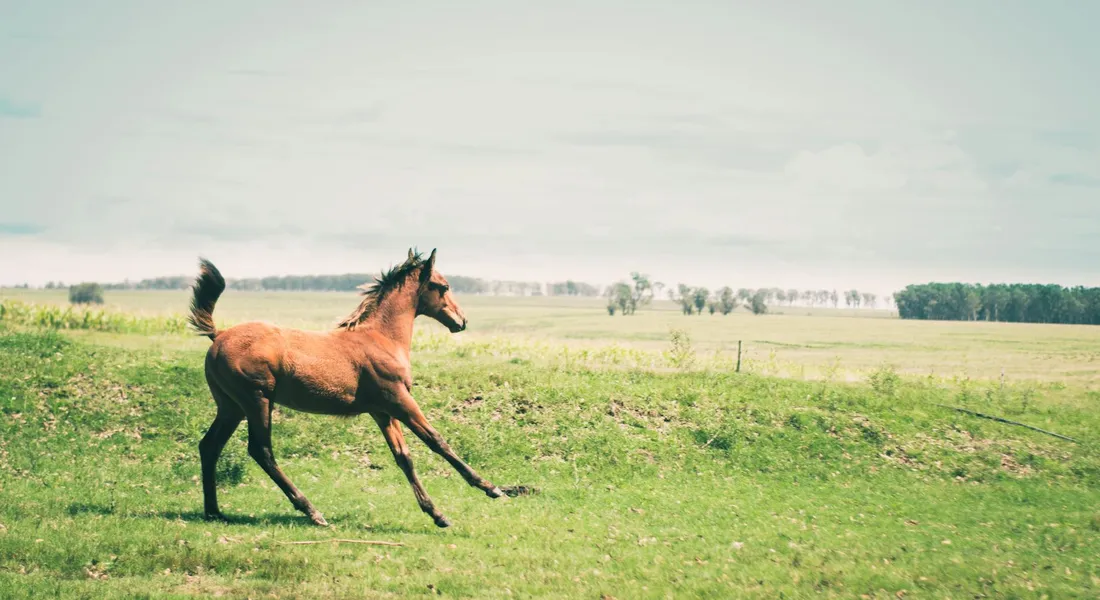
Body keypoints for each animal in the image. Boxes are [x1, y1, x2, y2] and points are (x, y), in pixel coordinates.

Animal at [189, 248, 505, 528]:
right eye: (444, 286)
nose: (462, 321)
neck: (381, 338)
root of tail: (218, 335)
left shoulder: (383, 412)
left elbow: (403, 457)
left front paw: (436, 513)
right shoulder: (399, 400)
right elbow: (436, 441)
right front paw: (492, 488)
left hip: (231, 406)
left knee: (210, 445)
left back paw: (214, 511)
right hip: (257, 400)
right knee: (261, 450)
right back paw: (312, 512)